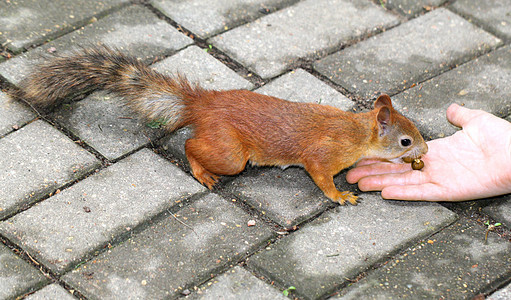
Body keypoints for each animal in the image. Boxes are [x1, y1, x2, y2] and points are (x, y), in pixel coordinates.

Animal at [14, 46, 428, 204]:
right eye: (406, 141)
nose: (425, 151)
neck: (356, 132)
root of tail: (203, 105)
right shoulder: (322, 157)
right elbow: (322, 178)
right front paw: (341, 195)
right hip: (231, 153)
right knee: (190, 146)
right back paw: (202, 173)